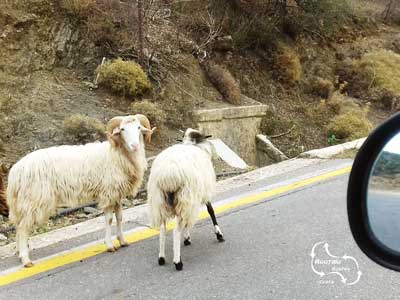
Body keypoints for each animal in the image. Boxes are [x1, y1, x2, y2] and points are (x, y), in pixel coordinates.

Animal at [3, 115, 156, 268]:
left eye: (138, 128)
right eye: (122, 129)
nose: (135, 146)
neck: (117, 153)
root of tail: (16, 171)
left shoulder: (116, 194)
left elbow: (119, 217)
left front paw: (123, 241)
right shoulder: (108, 193)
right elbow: (109, 219)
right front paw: (110, 245)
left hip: (23, 202)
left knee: (18, 225)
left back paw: (19, 252)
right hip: (34, 199)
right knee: (23, 227)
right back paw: (25, 259)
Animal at [147, 127, 225, 270]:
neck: (193, 145)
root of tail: (168, 174)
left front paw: (187, 238)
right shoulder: (202, 192)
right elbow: (211, 211)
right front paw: (218, 234)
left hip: (160, 202)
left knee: (162, 230)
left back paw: (161, 257)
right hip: (184, 198)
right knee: (176, 230)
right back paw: (178, 262)